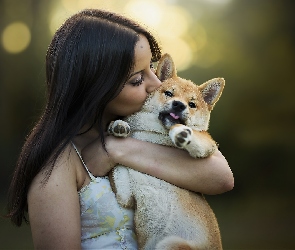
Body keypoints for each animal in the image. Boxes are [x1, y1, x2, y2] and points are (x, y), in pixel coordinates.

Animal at [110, 53, 225, 249]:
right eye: (169, 93)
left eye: (192, 104)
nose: (179, 105)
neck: (154, 136)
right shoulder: (126, 196)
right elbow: (118, 168)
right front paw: (118, 125)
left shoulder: (207, 144)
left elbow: (190, 133)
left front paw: (181, 132)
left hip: (170, 243)